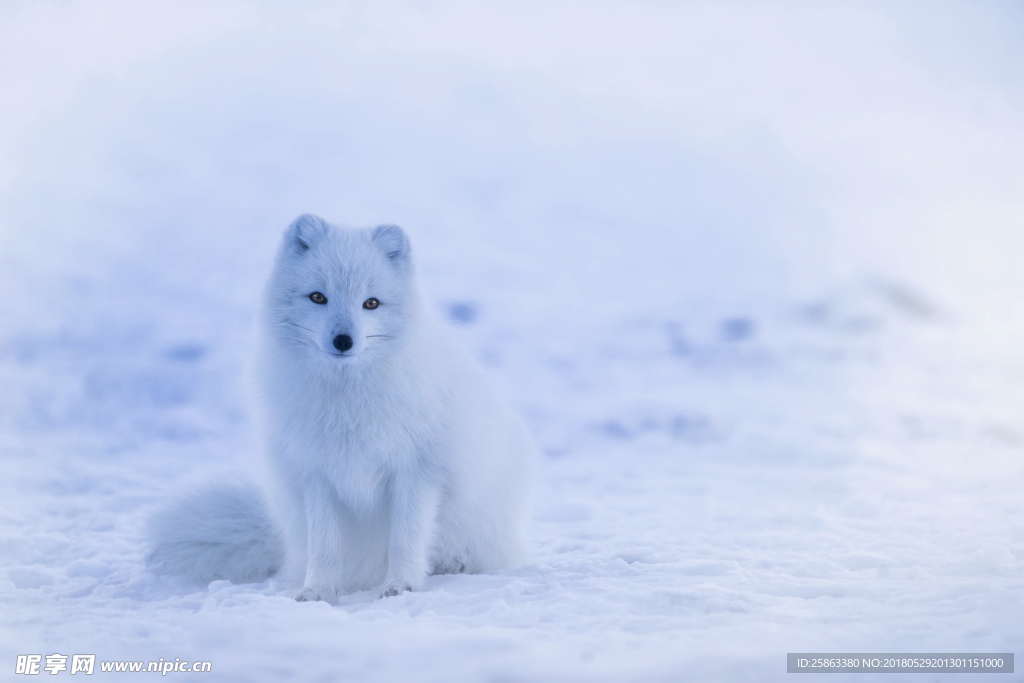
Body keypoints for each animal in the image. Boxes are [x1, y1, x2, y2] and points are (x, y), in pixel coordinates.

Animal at [149, 216, 536, 602]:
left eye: (371, 303)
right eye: (318, 297)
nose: (343, 341)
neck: (347, 398)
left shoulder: (417, 470)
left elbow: (406, 539)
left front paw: (401, 585)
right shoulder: (316, 473)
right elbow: (325, 546)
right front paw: (317, 591)